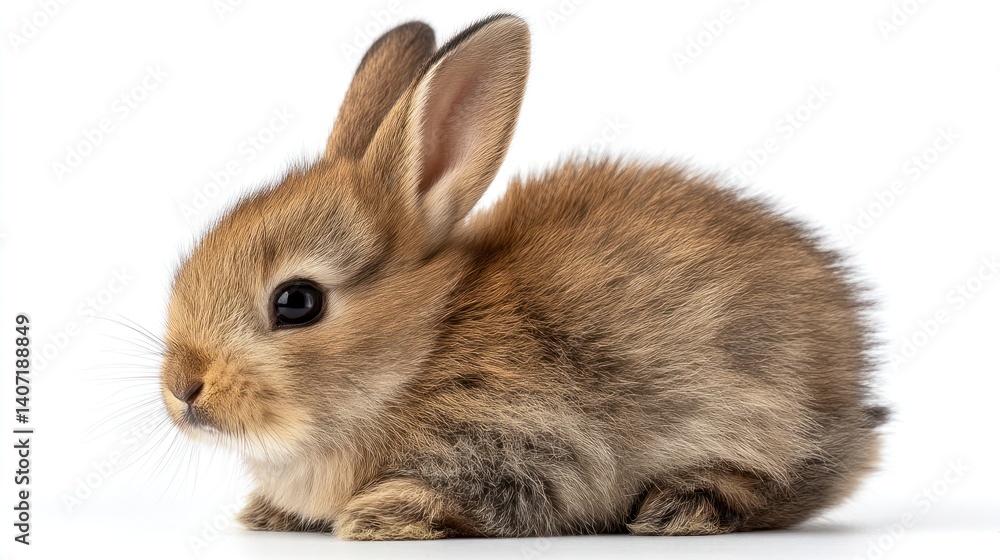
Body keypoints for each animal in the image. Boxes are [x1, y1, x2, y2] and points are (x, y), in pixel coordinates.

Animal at [158, 14, 887, 540]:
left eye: (296, 302)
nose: (182, 389)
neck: (422, 348)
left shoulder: (529, 440)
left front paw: (383, 514)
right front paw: (270, 513)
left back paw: (682, 507)